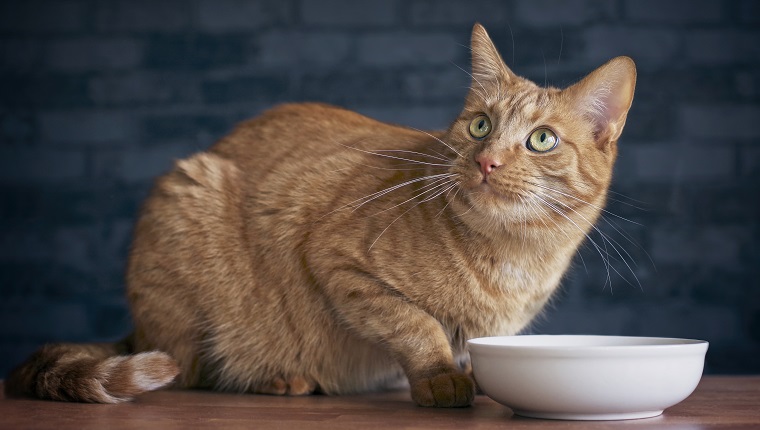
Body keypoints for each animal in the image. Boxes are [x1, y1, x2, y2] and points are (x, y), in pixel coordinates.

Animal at [4, 23, 636, 406]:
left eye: (541, 139)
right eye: (480, 125)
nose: (486, 161)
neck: (513, 256)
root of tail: (136, 332)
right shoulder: (338, 259)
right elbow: (418, 325)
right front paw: (440, 378)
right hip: (187, 208)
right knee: (191, 369)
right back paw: (279, 378)